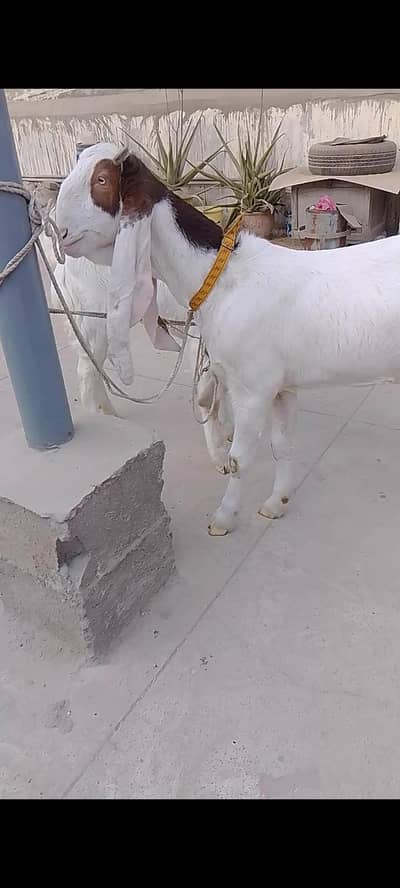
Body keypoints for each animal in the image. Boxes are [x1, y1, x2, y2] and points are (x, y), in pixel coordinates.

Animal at [55, 142, 400, 536]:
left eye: (101, 180)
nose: (60, 232)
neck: (222, 276)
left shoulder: (253, 388)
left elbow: (240, 458)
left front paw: (224, 516)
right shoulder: (279, 386)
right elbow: (282, 446)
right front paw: (276, 503)